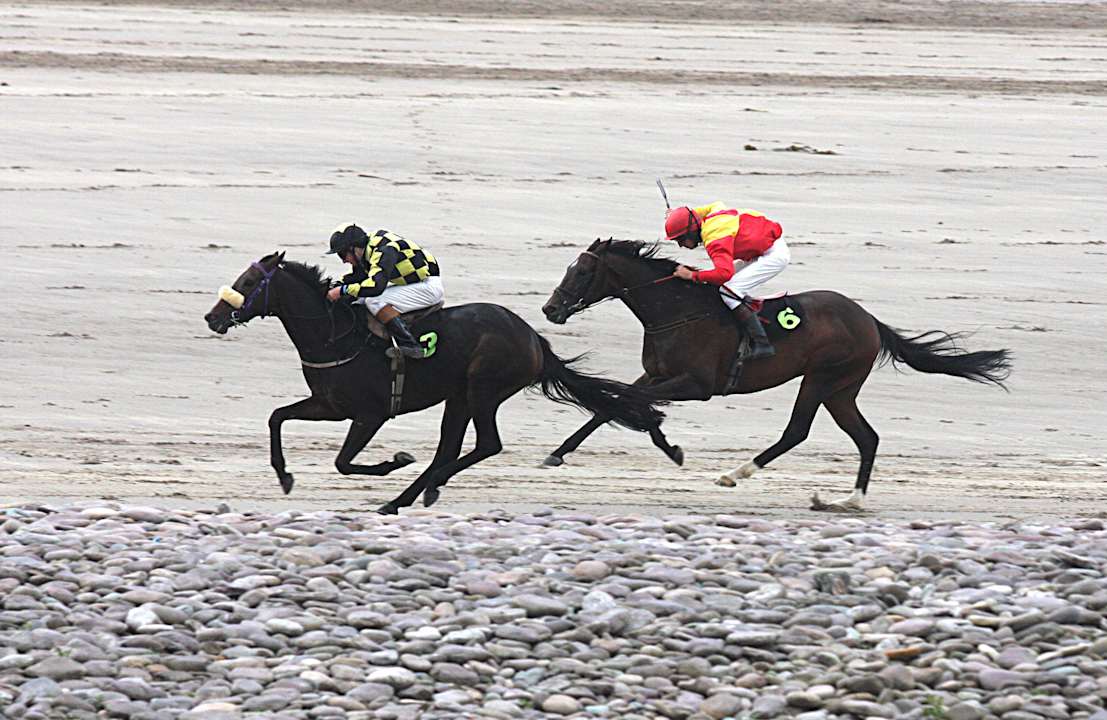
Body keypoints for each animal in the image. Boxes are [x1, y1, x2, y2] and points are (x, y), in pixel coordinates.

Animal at [203, 251, 666, 514]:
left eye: (249, 282)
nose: (212, 317)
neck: (335, 334)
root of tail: (533, 338)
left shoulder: (369, 414)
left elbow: (343, 462)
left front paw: (395, 460)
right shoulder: (329, 406)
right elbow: (277, 417)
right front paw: (284, 477)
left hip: (483, 389)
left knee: (486, 445)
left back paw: (415, 491)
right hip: (458, 396)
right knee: (451, 448)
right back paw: (406, 497)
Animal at [540, 238, 1012, 511]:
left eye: (583, 271)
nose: (550, 309)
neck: (677, 312)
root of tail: (870, 320)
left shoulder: (698, 386)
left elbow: (628, 402)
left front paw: (667, 442)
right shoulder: (654, 375)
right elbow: (611, 405)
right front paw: (559, 453)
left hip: (821, 379)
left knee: (797, 431)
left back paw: (737, 473)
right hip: (841, 390)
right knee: (867, 437)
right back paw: (852, 498)